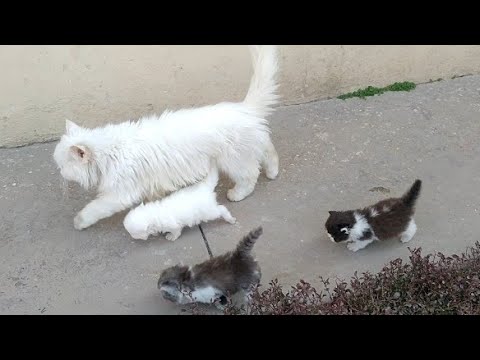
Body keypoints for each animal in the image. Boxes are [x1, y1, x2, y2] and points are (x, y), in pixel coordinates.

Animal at [52, 45, 280, 231]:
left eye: (62, 165)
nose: (60, 172)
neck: (109, 152)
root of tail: (244, 108)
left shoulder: (119, 194)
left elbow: (94, 208)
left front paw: (79, 221)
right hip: (250, 147)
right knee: (269, 151)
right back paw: (273, 172)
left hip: (234, 160)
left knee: (250, 175)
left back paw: (238, 193)